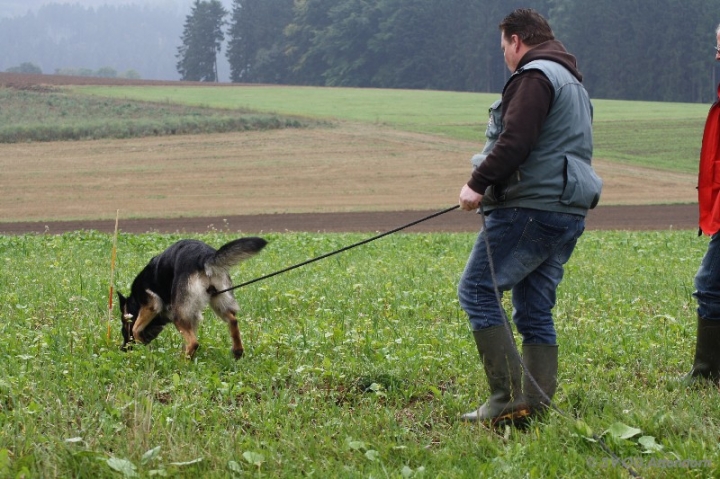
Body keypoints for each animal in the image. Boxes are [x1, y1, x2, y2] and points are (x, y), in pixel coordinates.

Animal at [118, 238, 268, 358]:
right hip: (219, 301)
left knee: (194, 342)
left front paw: (142, 346)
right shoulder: (192, 316)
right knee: (233, 320)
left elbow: (136, 328)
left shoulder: (150, 305)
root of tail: (204, 257)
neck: (135, 301)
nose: (123, 349)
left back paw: (182, 363)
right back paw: (237, 351)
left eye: (123, 326)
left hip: (178, 316)